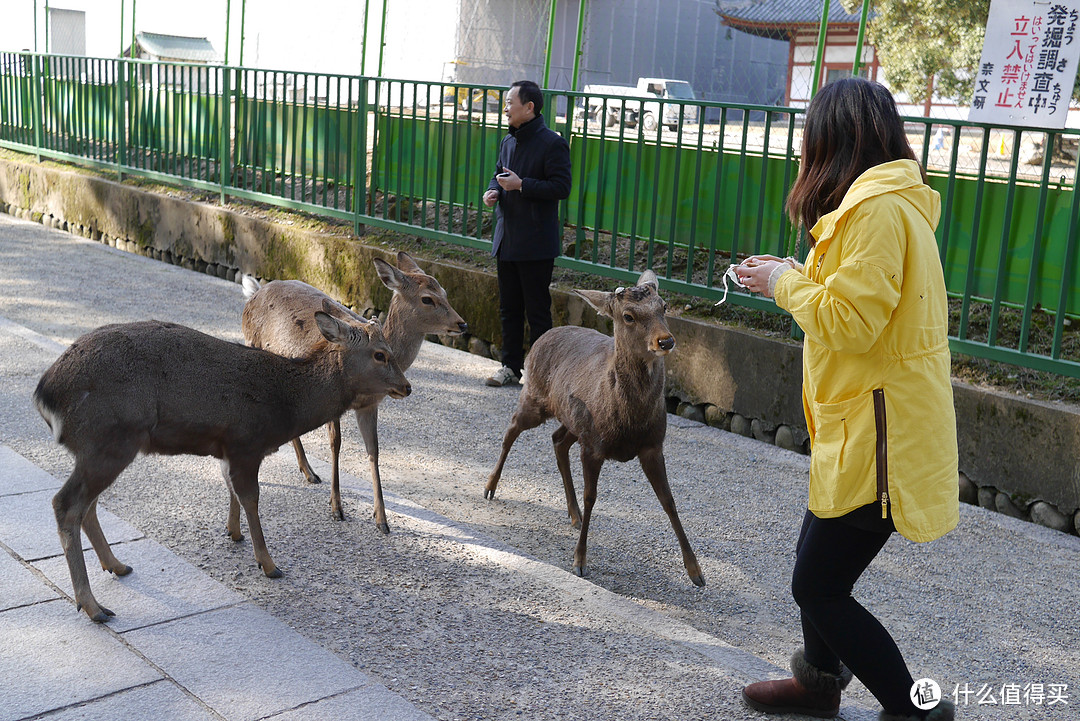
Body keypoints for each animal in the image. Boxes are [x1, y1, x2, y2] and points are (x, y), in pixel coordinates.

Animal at [33, 306, 410, 621]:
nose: (406, 386)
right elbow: (251, 498)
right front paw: (269, 564)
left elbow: (230, 487)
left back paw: (117, 565)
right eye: (380, 354)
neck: (286, 407)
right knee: (66, 503)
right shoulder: (246, 442)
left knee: (87, 505)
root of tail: (45, 394)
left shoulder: (226, 448)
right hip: (109, 438)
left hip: (106, 447)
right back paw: (93, 606)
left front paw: (233, 532)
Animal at [243, 250, 466, 533]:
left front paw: (381, 519)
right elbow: (335, 443)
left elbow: (374, 451)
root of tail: (254, 292)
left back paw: (309, 471)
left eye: (445, 292)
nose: (462, 324)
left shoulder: (371, 405)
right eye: (427, 298)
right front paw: (337, 508)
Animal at [486, 268, 704, 587]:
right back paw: (490, 486)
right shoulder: (593, 447)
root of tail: (543, 335)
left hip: (574, 421)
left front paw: (696, 571)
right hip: (535, 398)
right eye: (628, 316)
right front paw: (579, 561)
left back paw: (573, 514)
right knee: (512, 429)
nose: (665, 341)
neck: (630, 420)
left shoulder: (653, 445)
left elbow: (669, 500)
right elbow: (592, 498)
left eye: (663, 307)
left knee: (557, 440)